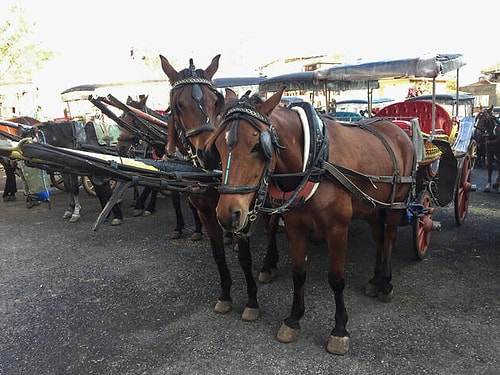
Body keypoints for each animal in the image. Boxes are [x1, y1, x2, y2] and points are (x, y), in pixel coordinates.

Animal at [115, 94, 203, 241]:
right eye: (121, 118)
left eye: (135, 120)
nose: (120, 148)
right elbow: (175, 201)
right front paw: (178, 228)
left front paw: (197, 229)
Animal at [162, 54, 284, 322]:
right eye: (178, 105)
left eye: (215, 100)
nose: (206, 152)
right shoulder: (207, 212)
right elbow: (217, 253)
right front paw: (225, 295)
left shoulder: (242, 209)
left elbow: (245, 257)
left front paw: (251, 301)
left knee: (272, 227)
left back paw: (269, 265)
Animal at [207, 88, 414, 356]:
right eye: (218, 147)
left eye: (257, 146)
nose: (227, 214)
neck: (314, 161)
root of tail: (397, 128)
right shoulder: (296, 227)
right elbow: (299, 273)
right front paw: (293, 319)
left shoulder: (337, 230)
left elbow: (336, 279)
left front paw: (339, 329)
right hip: (371, 205)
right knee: (379, 236)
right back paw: (375, 280)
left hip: (396, 203)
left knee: (389, 237)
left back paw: (386, 283)